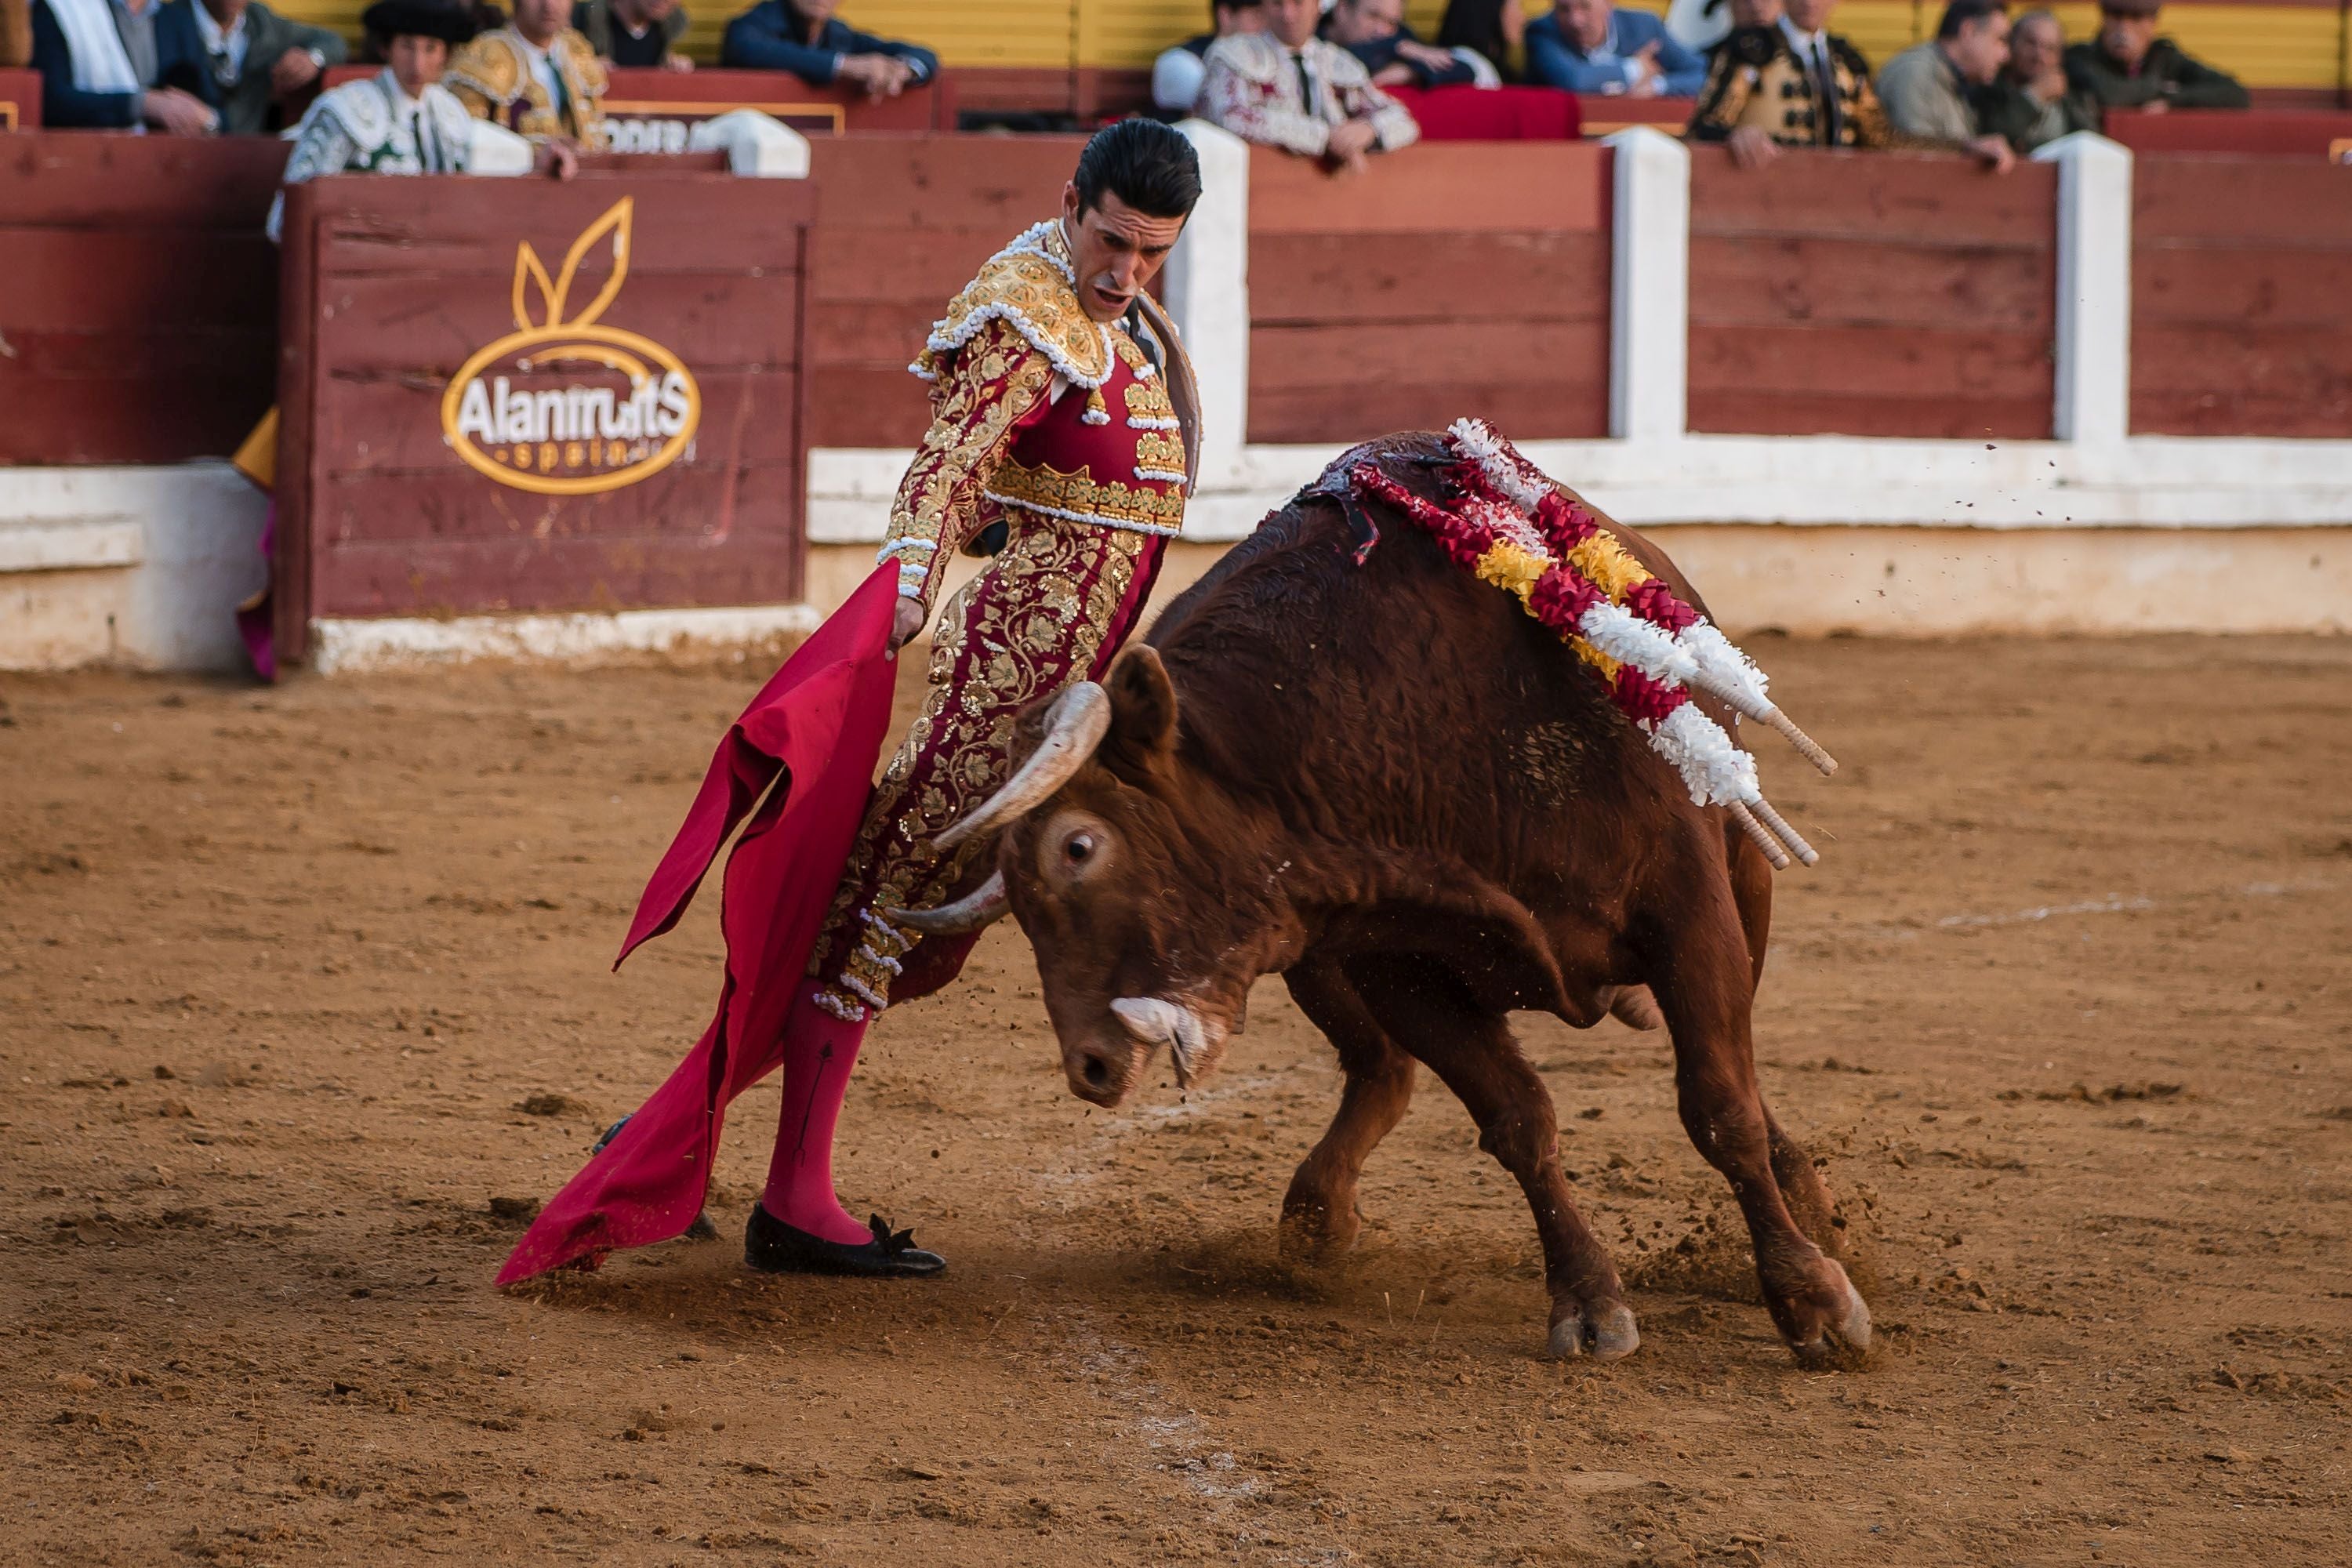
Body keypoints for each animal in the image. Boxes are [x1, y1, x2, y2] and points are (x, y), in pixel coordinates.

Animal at [889, 434, 1863, 1363]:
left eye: (1080, 845)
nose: (1090, 1065)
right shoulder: (1391, 959)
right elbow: (1518, 1120)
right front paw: (1588, 1302)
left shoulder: (1687, 904)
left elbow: (1720, 1106)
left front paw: (1811, 1299)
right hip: (1310, 957)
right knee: (1382, 1069)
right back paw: (1316, 1222)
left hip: (1745, 883)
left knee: (1736, 1074)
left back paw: (1813, 1206)